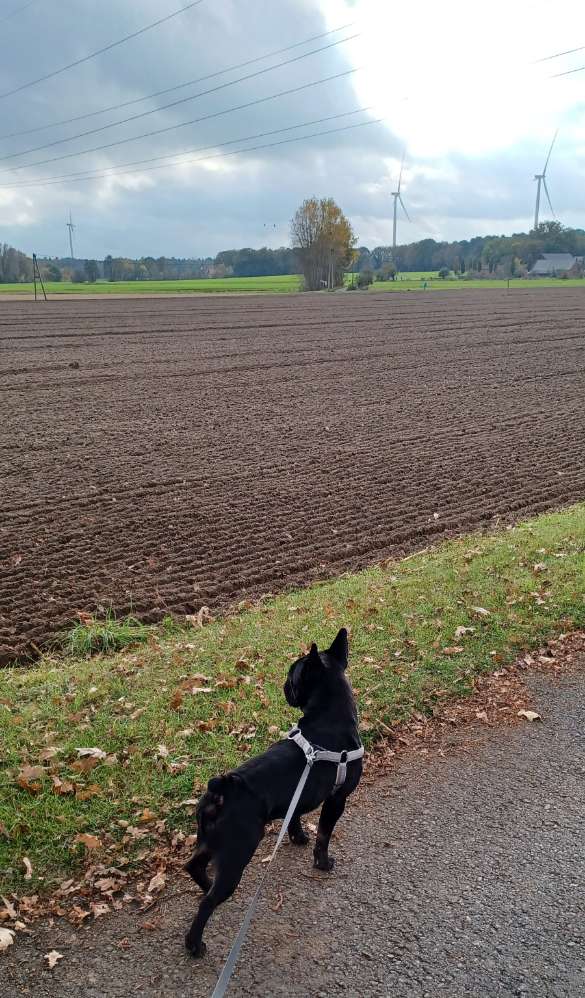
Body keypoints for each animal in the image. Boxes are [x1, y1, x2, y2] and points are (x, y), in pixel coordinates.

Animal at [184, 627, 363, 957]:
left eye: (291, 678)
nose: (283, 686)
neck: (327, 716)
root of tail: (222, 788)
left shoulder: (299, 797)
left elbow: (294, 818)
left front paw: (298, 838)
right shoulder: (336, 800)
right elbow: (324, 835)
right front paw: (322, 863)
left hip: (211, 840)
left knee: (194, 865)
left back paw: (205, 884)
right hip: (238, 851)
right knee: (208, 903)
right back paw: (194, 944)